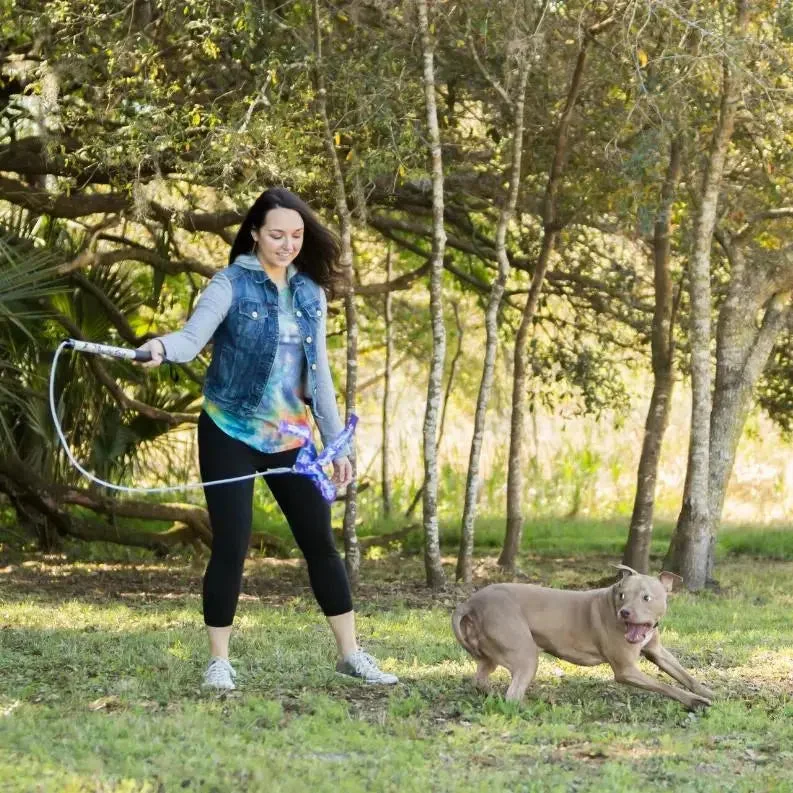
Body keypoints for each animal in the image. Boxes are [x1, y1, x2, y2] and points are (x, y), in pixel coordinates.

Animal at [448, 564, 716, 712]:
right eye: (622, 595)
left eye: (646, 598)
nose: (625, 612)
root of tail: (470, 603)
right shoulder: (626, 670)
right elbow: (665, 685)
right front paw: (695, 702)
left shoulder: (657, 651)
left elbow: (682, 674)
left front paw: (707, 691)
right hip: (525, 655)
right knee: (512, 696)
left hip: (489, 656)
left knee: (481, 680)